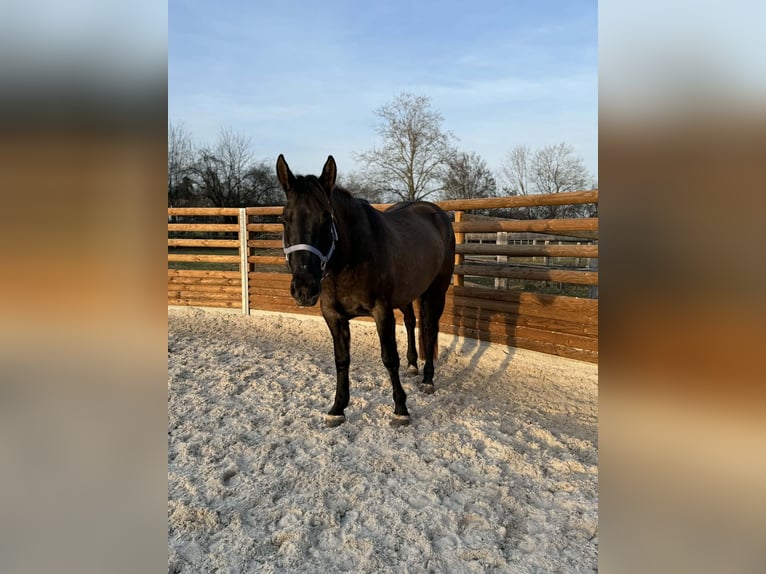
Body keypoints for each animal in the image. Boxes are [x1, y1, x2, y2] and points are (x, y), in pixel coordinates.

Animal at [276, 154, 455, 427]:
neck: (350, 258)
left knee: (430, 328)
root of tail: (436, 213)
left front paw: (401, 408)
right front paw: (337, 408)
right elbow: (341, 360)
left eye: (326, 218)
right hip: (408, 293)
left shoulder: (382, 311)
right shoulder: (333, 316)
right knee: (412, 322)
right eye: (285, 219)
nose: (304, 288)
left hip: (436, 290)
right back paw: (413, 365)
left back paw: (427, 379)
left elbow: (389, 358)